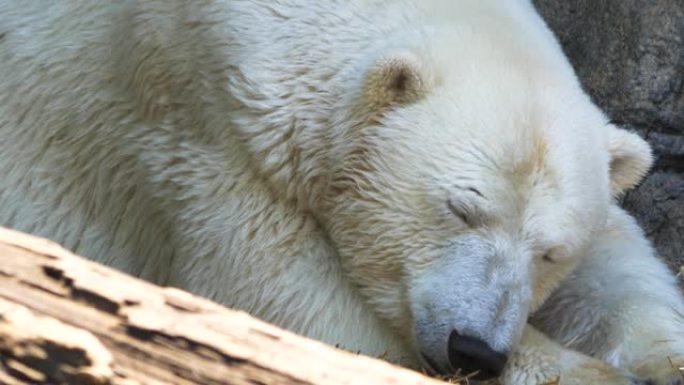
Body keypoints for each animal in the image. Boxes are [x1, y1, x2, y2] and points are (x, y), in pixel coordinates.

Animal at [1, 0, 684, 382]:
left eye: (550, 252)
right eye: (460, 209)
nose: (474, 350)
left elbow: (613, 266)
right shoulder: (206, 121)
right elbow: (290, 298)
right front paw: (581, 373)